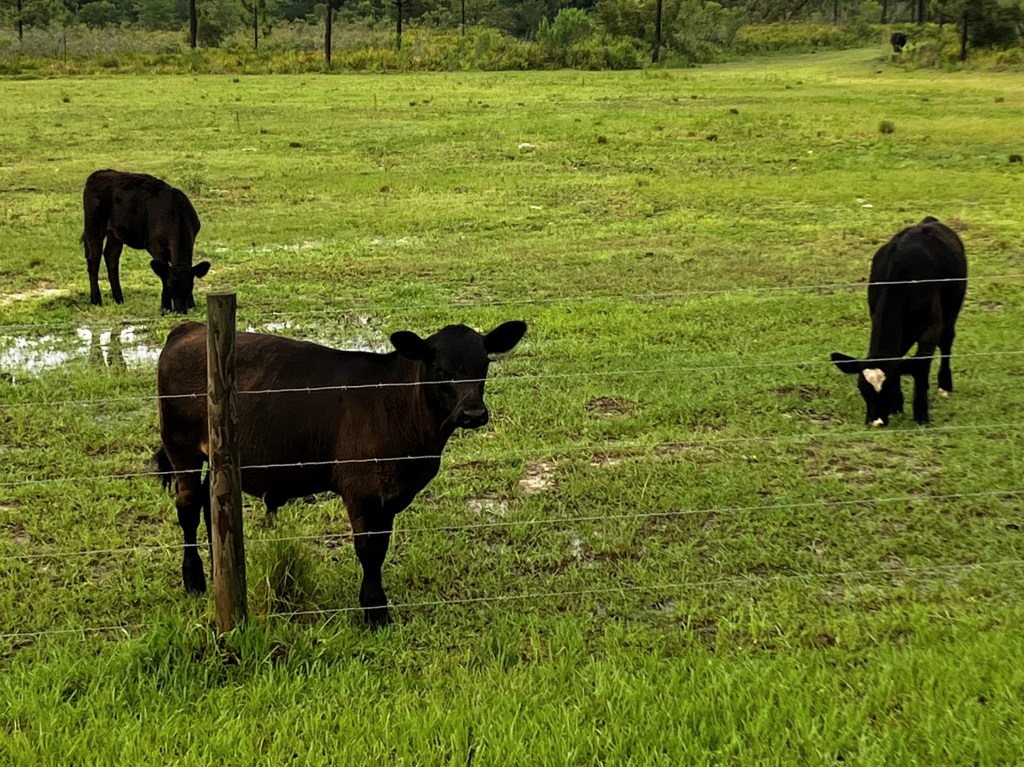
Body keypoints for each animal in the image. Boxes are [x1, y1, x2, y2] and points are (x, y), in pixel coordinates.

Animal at [82, 170, 210, 314]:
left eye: (189, 289)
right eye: (170, 289)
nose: (180, 310)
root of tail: (98, 173)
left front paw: (191, 304)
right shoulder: (155, 246)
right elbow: (163, 274)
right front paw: (165, 306)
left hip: (115, 233)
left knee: (111, 257)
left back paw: (119, 299)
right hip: (94, 225)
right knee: (94, 259)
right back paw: (96, 300)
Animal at [155, 319, 527, 627]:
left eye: (485, 364)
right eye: (439, 368)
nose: (473, 413)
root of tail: (190, 329)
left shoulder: (389, 492)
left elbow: (381, 545)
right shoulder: (361, 489)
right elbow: (369, 549)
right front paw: (375, 611)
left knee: (211, 504)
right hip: (181, 448)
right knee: (188, 507)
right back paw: (194, 580)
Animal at [831, 217, 967, 427]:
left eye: (889, 389)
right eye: (862, 389)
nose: (876, 422)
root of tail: (929, 221)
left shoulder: (931, 328)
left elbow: (921, 367)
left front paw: (921, 415)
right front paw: (898, 406)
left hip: (953, 307)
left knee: (947, 342)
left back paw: (944, 386)